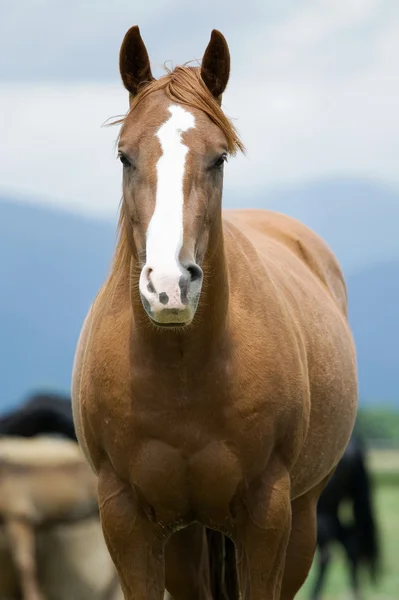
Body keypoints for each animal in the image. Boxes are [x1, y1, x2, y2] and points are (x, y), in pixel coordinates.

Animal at [72, 25, 360, 596]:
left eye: (219, 157)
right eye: (124, 156)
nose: (169, 286)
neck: (183, 370)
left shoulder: (267, 518)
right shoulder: (125, 519)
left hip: (304, 518)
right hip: (186, 544)